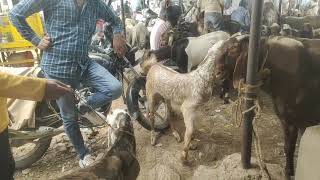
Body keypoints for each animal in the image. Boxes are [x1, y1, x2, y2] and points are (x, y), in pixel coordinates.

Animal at [214, 34, 320, 179]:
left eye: (234, 49)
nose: (217, 72)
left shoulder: (297, 120)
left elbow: (293, 147)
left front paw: (289, 172)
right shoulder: (288, 120)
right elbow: (289, 147)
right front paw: (290, 172)